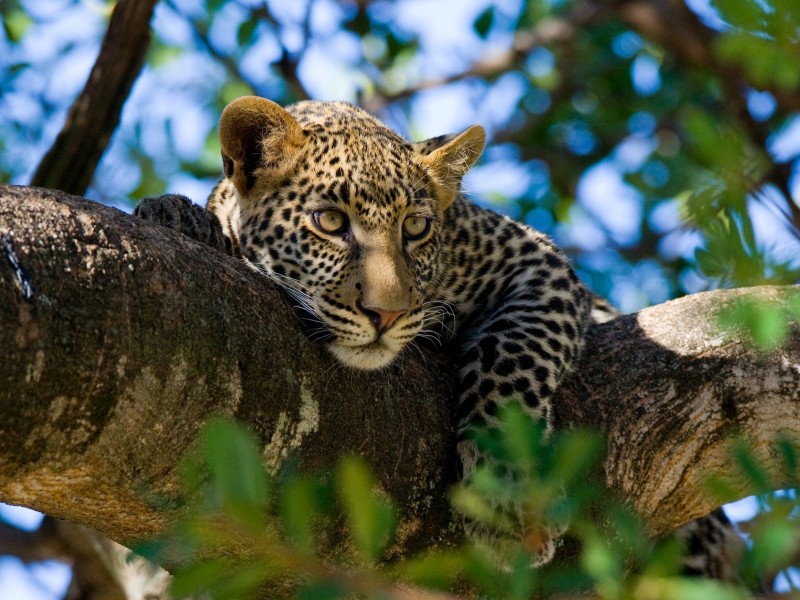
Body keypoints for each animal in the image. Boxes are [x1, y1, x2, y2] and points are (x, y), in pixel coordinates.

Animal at [134, 96, 741, 577]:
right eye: (330, 222)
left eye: (417, 228)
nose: (384, 314)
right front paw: (176, 216)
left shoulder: (536, 261)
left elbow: (515, 350)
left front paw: (506, 492)